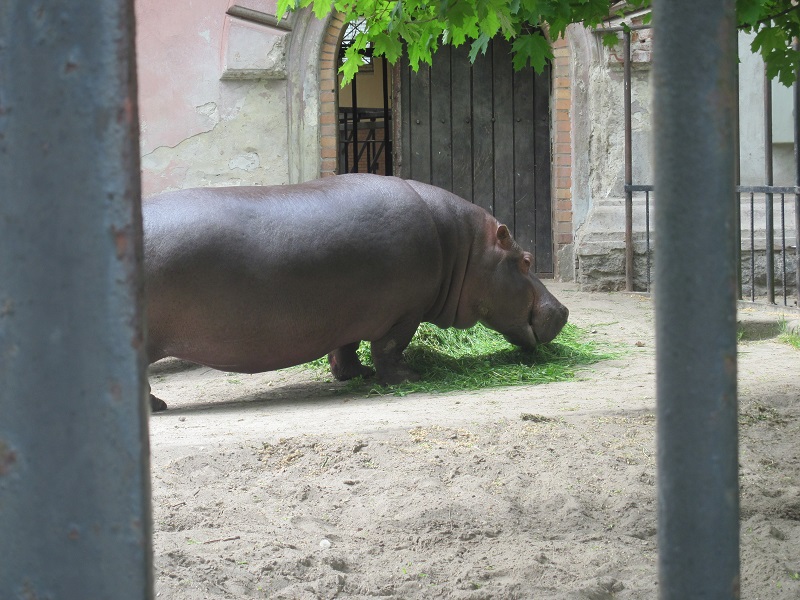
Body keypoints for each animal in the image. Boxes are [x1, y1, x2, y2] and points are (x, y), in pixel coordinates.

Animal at [144, 173, 568, 411]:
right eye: (526, 260)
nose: (563, 311)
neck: (463, 246)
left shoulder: (346, 312)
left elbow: (345, 348)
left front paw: (354, 375)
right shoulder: (404, 313)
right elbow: (389, 348)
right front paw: (409, 377)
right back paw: (158, 406)